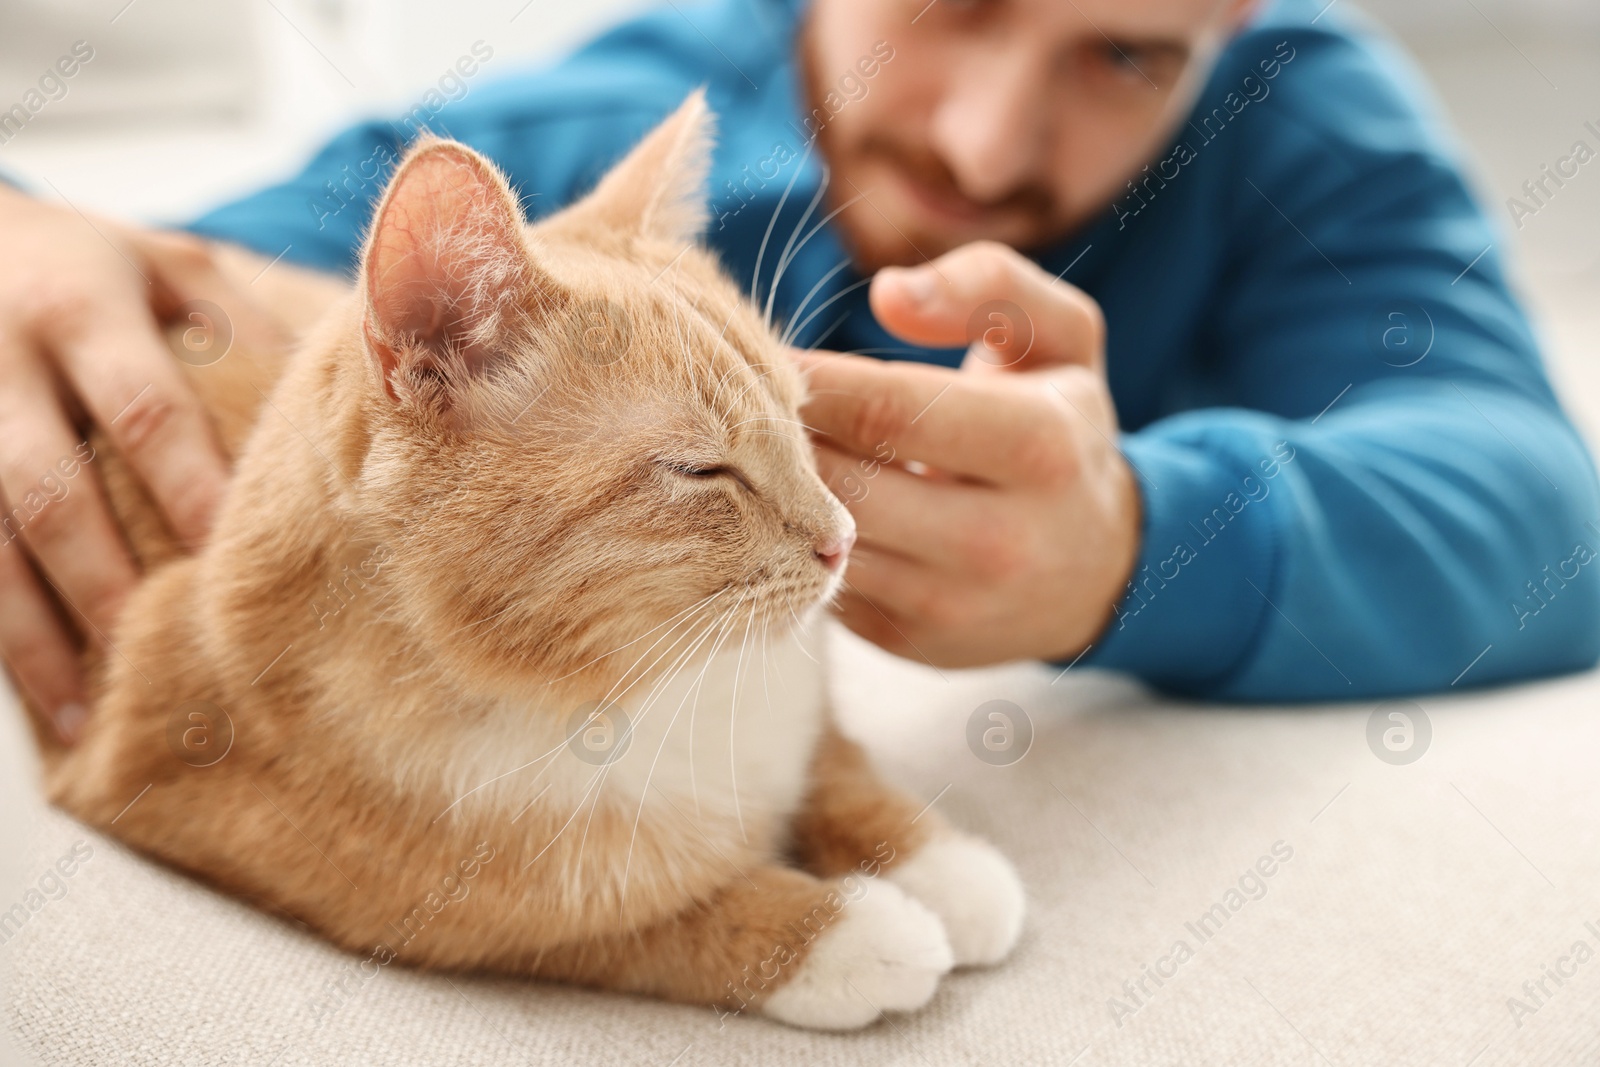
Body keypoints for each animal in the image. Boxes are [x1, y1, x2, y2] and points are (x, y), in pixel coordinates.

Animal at [40, 95, 1024, 1030]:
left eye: (801, 416)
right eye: (701, 469)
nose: (843, 537)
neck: (645, 687)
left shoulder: (802, 719)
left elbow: (835, 764)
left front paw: (943, 866)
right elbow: (623, 920)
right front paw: (840, 929)